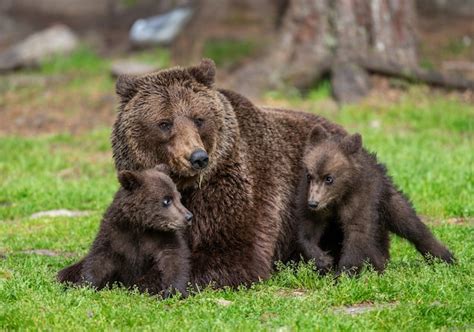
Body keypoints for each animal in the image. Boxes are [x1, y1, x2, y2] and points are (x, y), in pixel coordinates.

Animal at [58, 59, 348, 288]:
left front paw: (144, 280)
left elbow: (232, 253)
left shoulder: (233, 189)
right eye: (164, 123)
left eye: (199, 119)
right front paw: (71, 273)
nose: (197, 157)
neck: (184, 185)